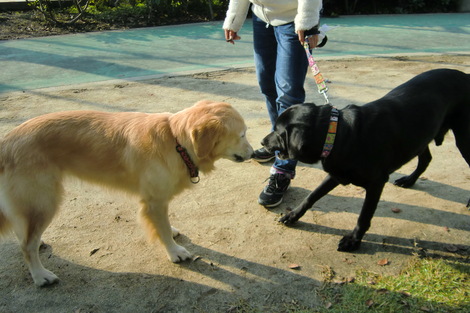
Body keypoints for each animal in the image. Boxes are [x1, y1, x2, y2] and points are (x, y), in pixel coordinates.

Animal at [0, 99, 253, 286]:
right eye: (242, 134)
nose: (254, 152)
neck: (176, 142)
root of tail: (7, 141)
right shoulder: (153, 202)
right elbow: (161, 229)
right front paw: (174, 251)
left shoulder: (159, 200)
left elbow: (164, 224)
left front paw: (171, 231)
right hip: (44, 201)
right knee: (26, 245)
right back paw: (40, 275)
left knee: (26, 234)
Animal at [260, 68, 470, 251]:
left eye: (278, 132)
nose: (262, 141)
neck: (339, 134)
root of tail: (465, 75)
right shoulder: (336, 173)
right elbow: (312, 195)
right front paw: (293, 215)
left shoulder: (376, 183)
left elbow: (363, 216)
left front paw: (353, 240)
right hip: (420, 137)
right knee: (426, 159)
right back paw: (409, 180)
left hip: (463, 138)